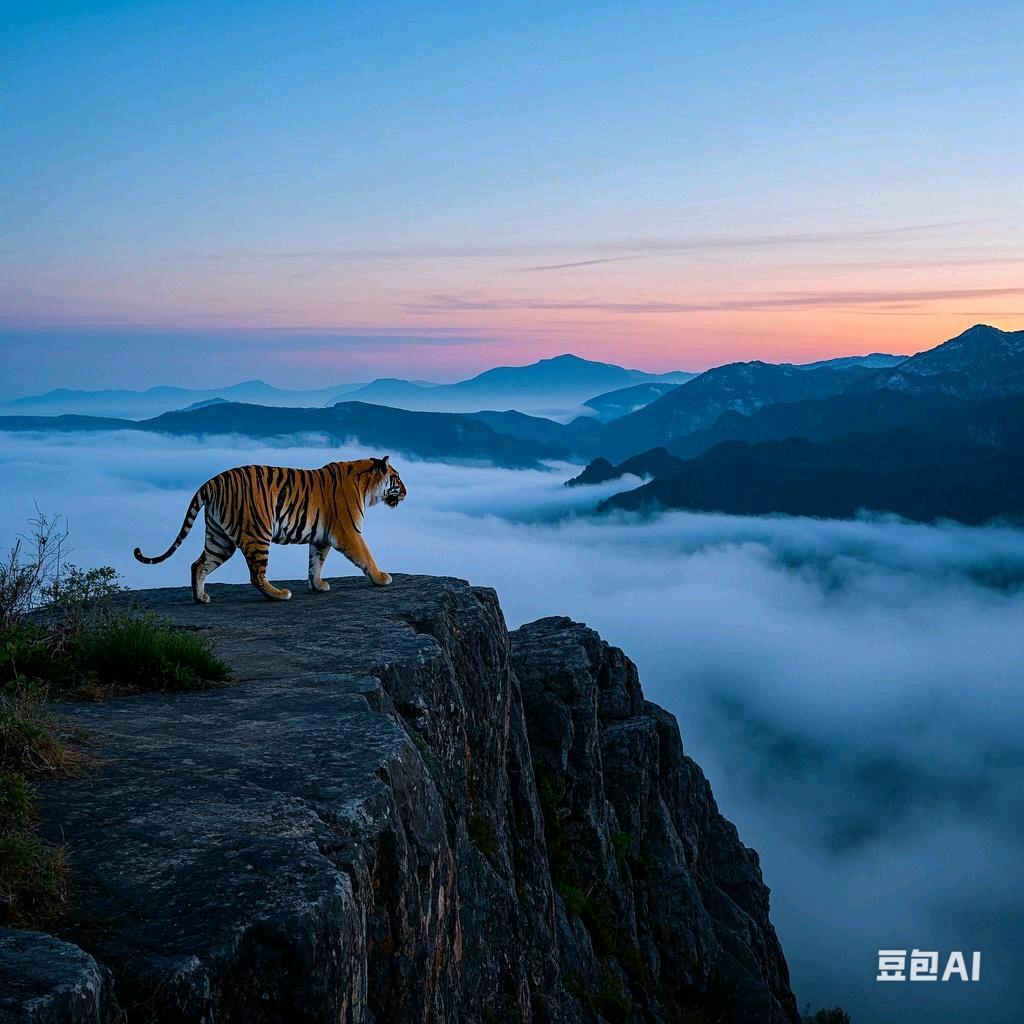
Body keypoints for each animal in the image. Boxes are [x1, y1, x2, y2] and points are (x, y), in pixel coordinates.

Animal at [134, 456, 407, 603]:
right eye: (397, 478)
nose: (406, 492)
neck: (366, 485)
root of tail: (213, 481)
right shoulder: (348, 532)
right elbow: (366, 555)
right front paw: (381, 578)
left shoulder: (321, 538)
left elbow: (316, 562)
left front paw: (318, 585)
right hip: (257, 533)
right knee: (256, 575)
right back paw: (279, 594)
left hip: (219, 539)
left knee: (198, 564)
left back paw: (200, 598)